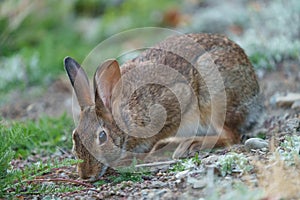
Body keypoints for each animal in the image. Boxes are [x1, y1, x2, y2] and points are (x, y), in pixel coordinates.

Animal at [63, 33, 262, 180]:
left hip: (213, 99)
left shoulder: (172, 105)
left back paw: (190, 143)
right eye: (75, 136)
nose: (85, 175)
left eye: (102, 136)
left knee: (231, 135)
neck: (125, 115)